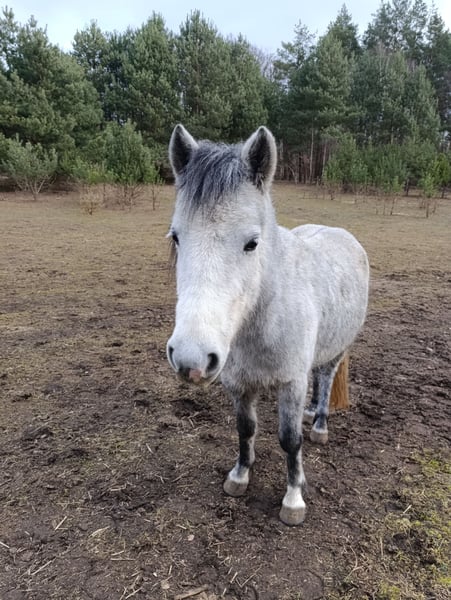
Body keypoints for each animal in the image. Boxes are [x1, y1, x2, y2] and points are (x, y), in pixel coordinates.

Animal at [166, 124, 369, 526]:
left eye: (252, 243)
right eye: (176, 237)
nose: (191, 358)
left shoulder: (292, 382)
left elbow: (290, 440)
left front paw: (293, 499)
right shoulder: (237, 383)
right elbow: (245, 429)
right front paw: (239, 476)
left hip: (335, 351)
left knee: (325, 378)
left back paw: (319, 424)